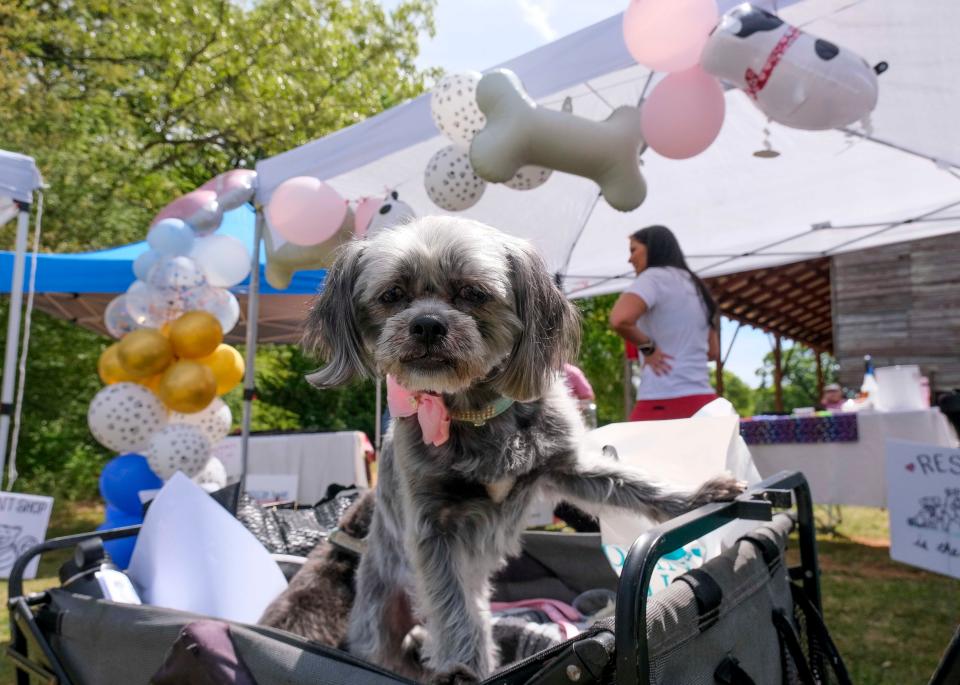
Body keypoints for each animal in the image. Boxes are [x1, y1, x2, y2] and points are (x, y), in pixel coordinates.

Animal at [304, 216, 740, 680]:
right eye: (392, 295)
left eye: (473, 293)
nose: (426, 324)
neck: (475, 411)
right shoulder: (432, 526)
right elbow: (453, 607)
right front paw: (464, 666)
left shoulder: (570, 468)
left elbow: (633, 484)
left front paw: (697, 496)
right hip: (379, 619)